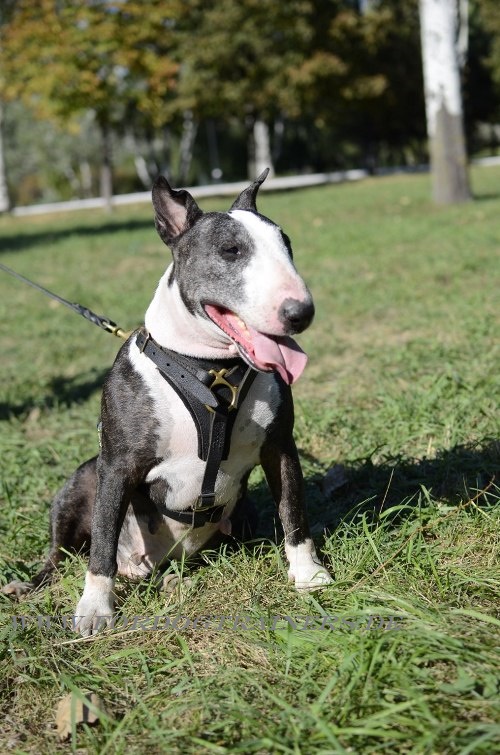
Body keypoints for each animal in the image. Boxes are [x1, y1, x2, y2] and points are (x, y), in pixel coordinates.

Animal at [3, 170, 334, 632]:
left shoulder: (280, 447)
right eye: (231, 250)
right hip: (84, 479)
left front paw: (308, 574)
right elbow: (102, 543)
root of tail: (156, 561)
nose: (301, 313)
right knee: (62, 552)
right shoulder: (117, 465)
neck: (211, 369)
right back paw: (31, 584)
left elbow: (294, 512)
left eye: (287, 245)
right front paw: (95, 609)